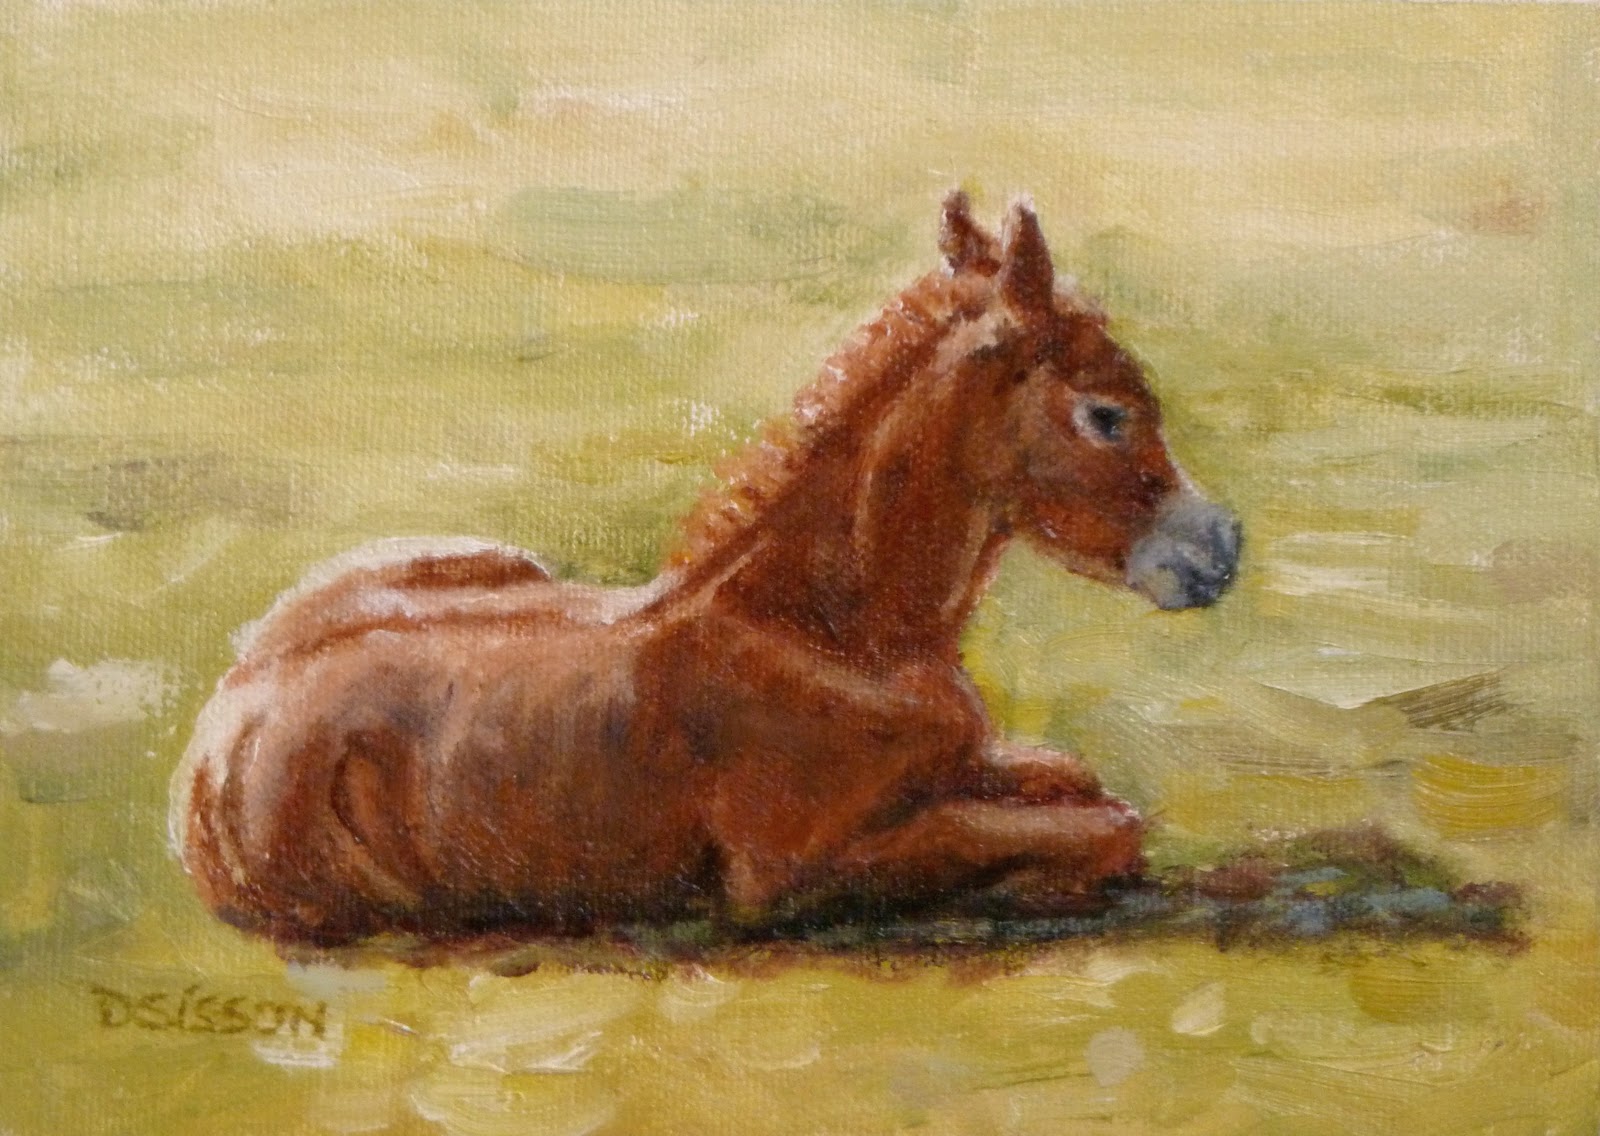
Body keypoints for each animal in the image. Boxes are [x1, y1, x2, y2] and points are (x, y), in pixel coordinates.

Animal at [170, 193, 1240, 948]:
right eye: (1106, 414)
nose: (1220, 550)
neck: (822, 633)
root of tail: (227, 712)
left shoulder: (967, 764)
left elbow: (1080, 787)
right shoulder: (794, 874)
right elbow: (1102, 827)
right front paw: (1026, 887)